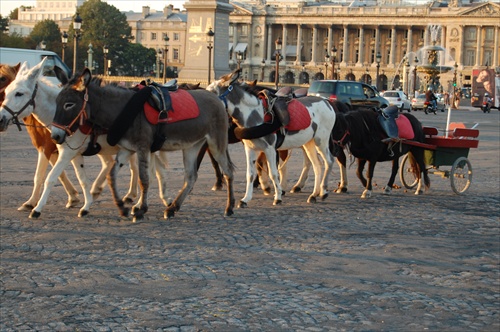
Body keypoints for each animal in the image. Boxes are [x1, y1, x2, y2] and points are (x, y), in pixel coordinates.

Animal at [0, 60, 169, 218]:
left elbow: (47, 177)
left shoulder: (59, 152)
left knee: (146, 171)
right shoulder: (73, 153)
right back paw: (159, 199)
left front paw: (36, 208)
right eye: (7, 91)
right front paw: (85, 205)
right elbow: (81, 178)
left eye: (19, 93)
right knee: (153, 169)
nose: (1, 118)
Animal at [207, 70, 336, 208]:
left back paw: (323, 191)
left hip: (321, 140)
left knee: (329, 161)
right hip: (308, 143)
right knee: (317, 165)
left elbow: (273, 173)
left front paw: (278, 197)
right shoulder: (250, 149)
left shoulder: (270, 149)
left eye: (212, 93)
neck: (256, 115)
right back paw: (313, 195)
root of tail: (326, 102)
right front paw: (245, 199)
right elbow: (250, 174)